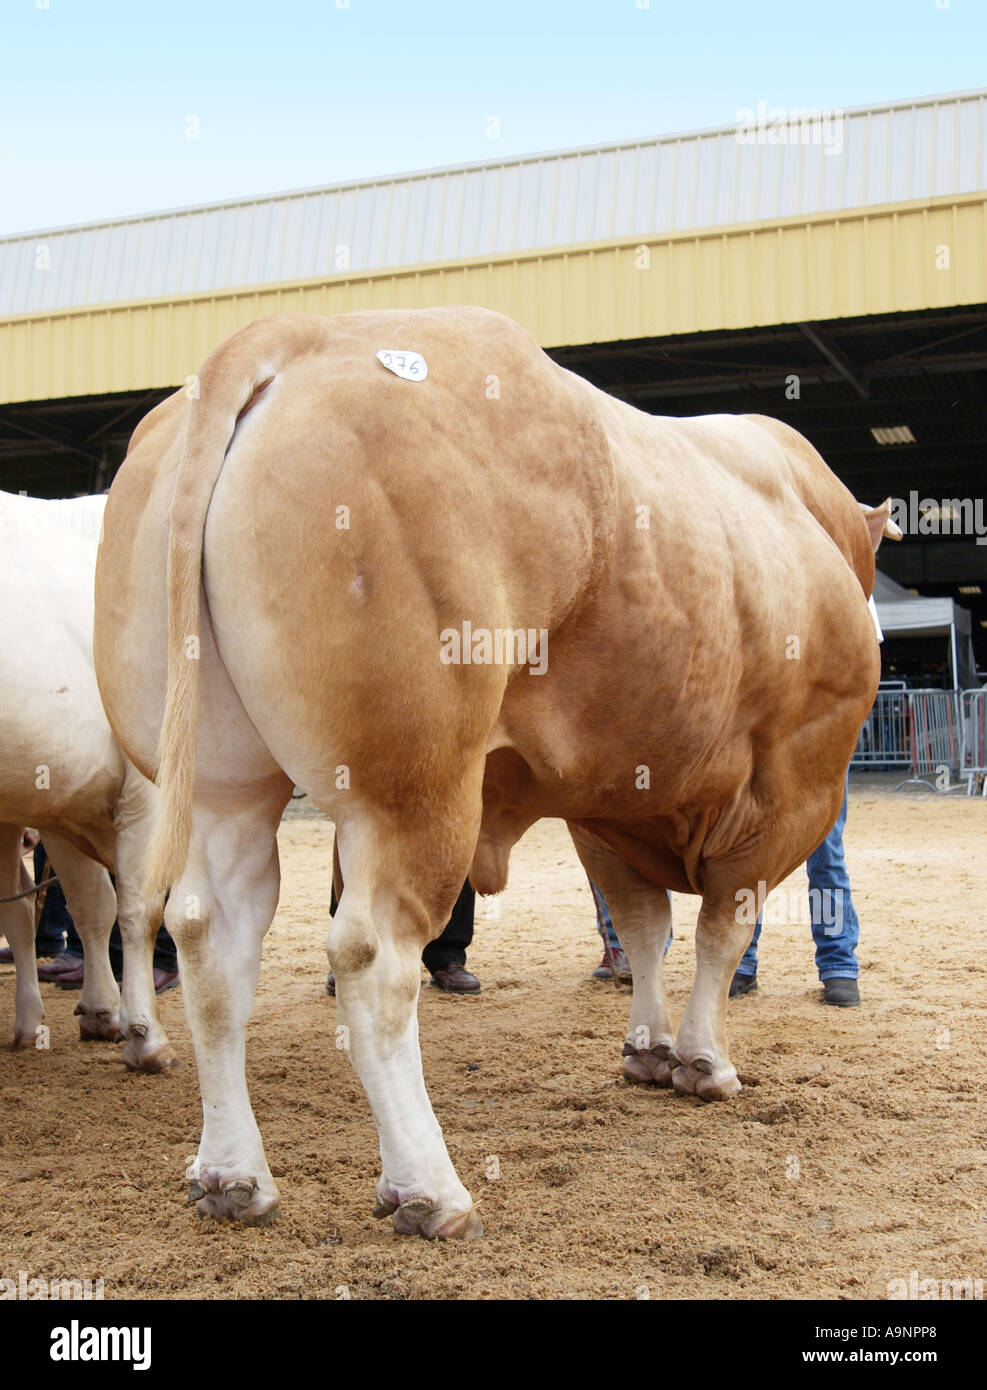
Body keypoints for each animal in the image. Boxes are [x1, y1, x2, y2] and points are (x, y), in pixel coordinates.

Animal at [0, 494, 175, 1067]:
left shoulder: (61, 794)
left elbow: (91, 904)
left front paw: (102, 1012)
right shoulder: (146, 789)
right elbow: (139, 906)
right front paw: (145, 1035)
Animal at [96, 307, 895, 1239]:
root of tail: (291, 334)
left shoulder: (606, 803)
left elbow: (644, 925)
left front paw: (649, 1049)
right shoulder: (795, 782)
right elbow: (719, 928)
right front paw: (703, 1061)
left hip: (225, 786)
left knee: (209, 942)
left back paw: (232, 1176)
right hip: (410, 790)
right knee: (372, 959)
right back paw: (428, 1189)